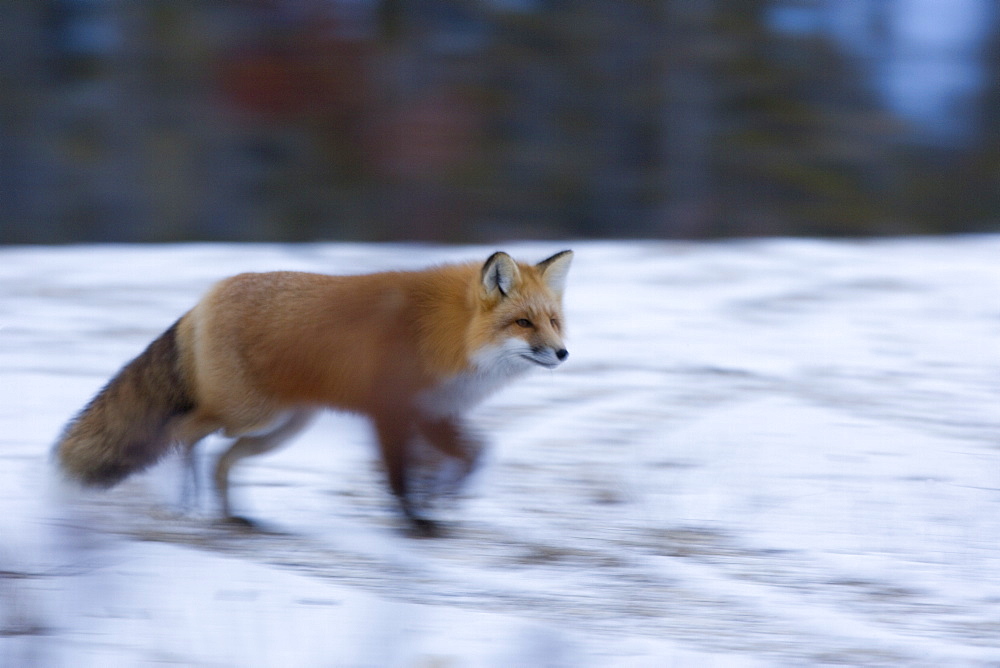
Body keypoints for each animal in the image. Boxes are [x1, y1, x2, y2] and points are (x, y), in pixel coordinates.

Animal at [52, 250, 572, 536]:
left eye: (552, 321)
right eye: (523, 323)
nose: (563, 353)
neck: (443, 333)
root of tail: (205, 298)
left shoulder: (433, 411)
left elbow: (473, 456)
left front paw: (442, 498)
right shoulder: (389, 411)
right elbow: (398, 478)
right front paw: (415, 522)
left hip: (283, 427)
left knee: (222, 458)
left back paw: (231, 515)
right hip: (246, 413)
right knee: (183, 433)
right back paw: (186, 502)